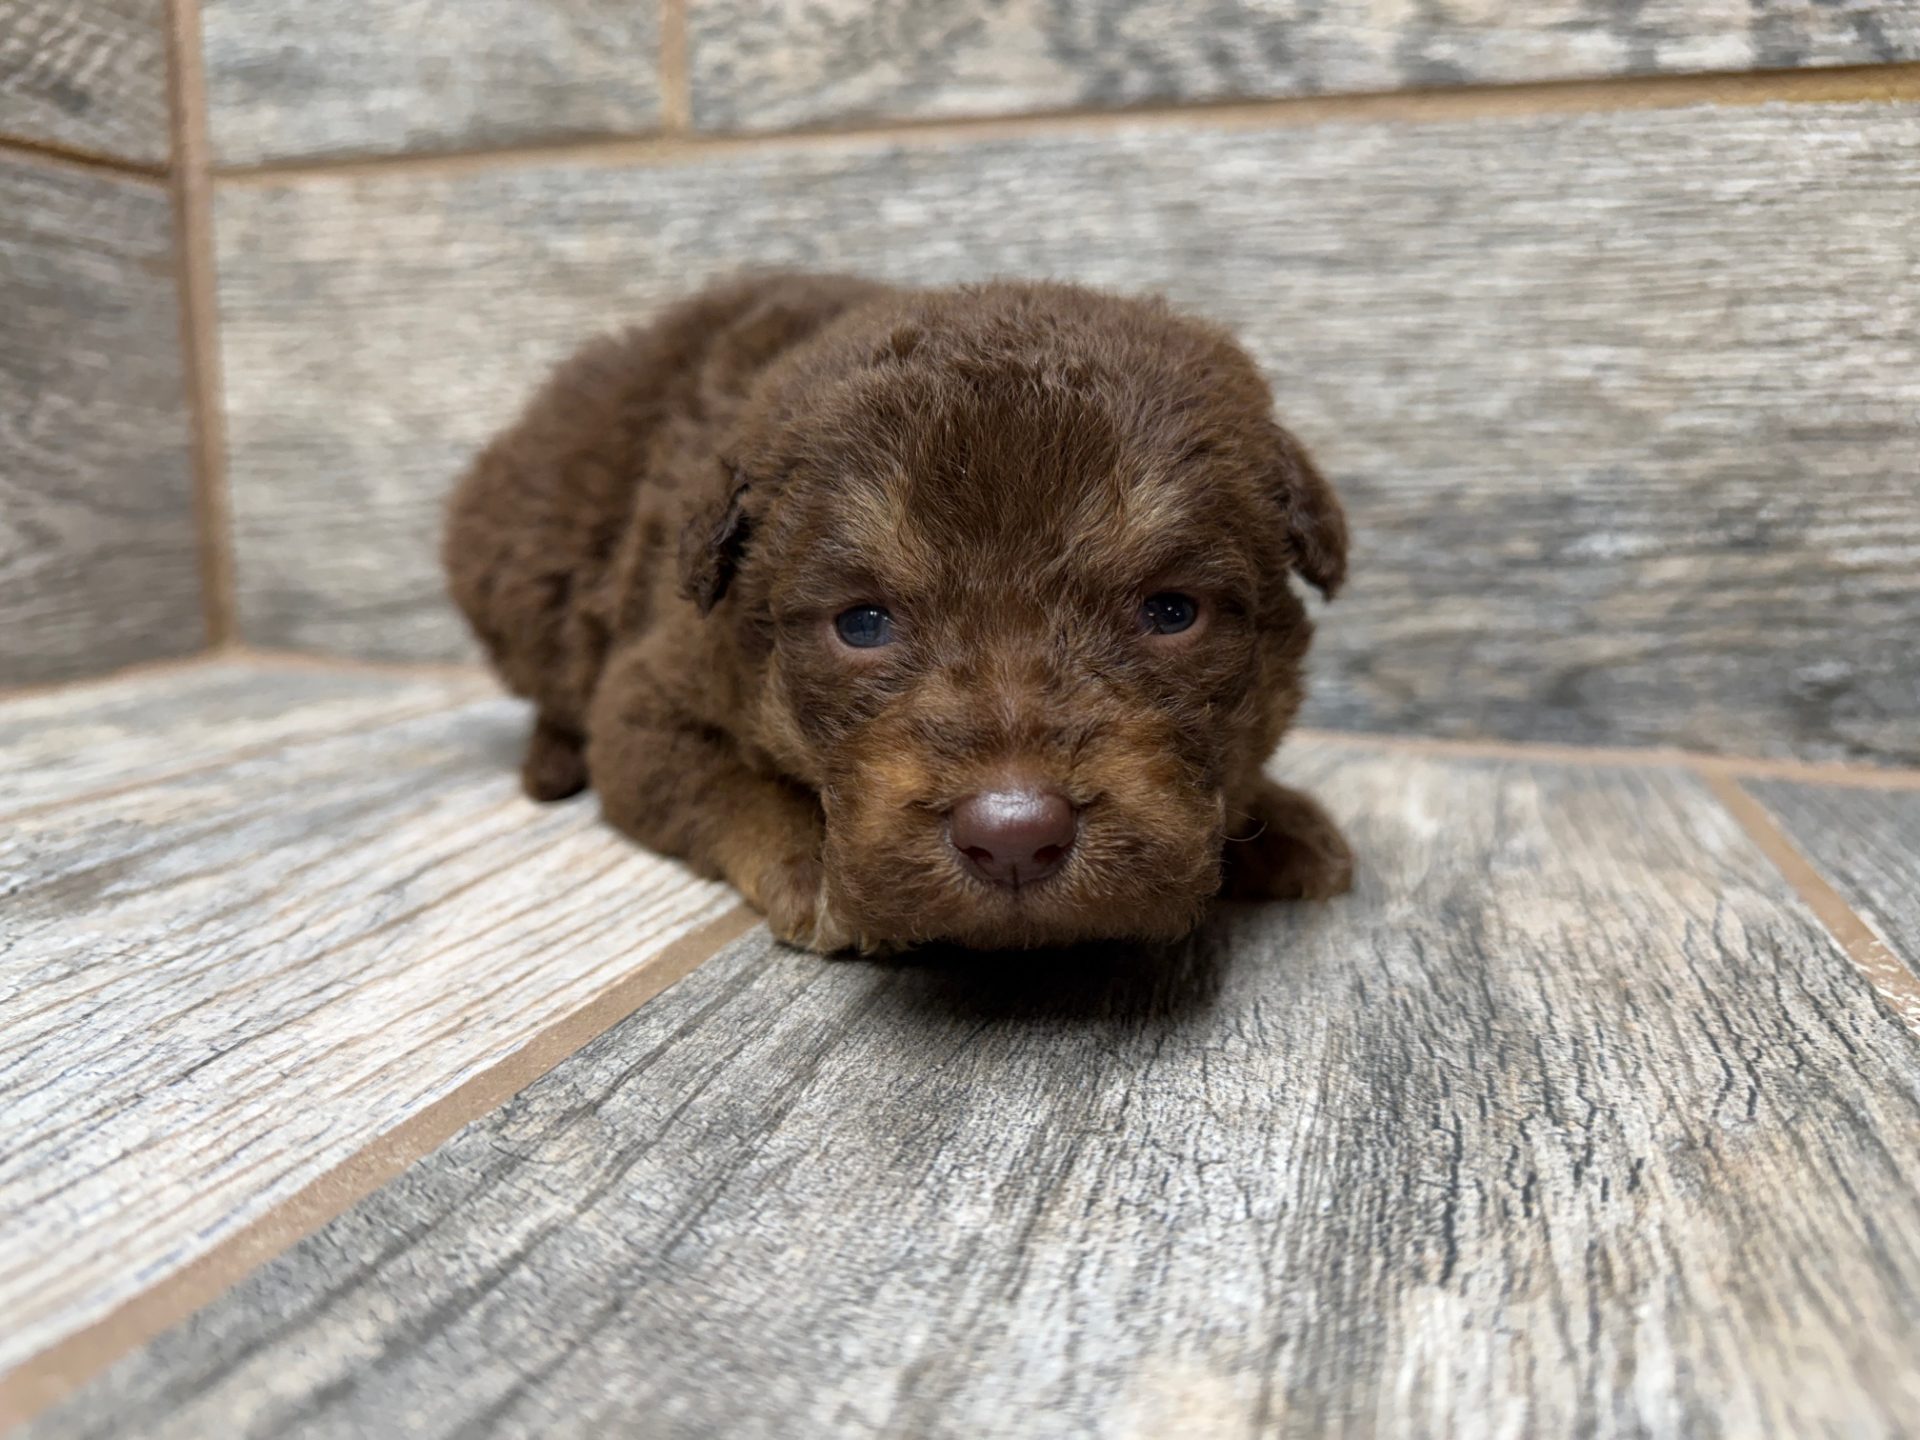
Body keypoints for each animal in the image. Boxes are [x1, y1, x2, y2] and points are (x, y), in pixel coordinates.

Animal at [444, 272, 1353, 952]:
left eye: (1170, 612)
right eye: (863, 624)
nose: (1014, 836)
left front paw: (1277, 818)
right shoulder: (647, 699)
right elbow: (720, 781)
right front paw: (814, 869)